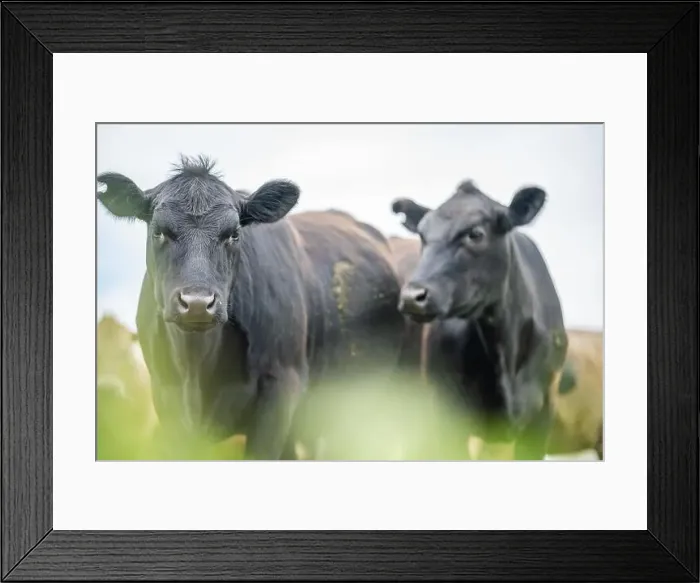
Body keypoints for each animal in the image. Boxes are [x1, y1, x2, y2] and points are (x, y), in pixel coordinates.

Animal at [97, 155, 405, 460]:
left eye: (233, 234)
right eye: (159, 232)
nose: (197, 303)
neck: (197, 367)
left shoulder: (280, 392)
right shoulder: (166, 400)